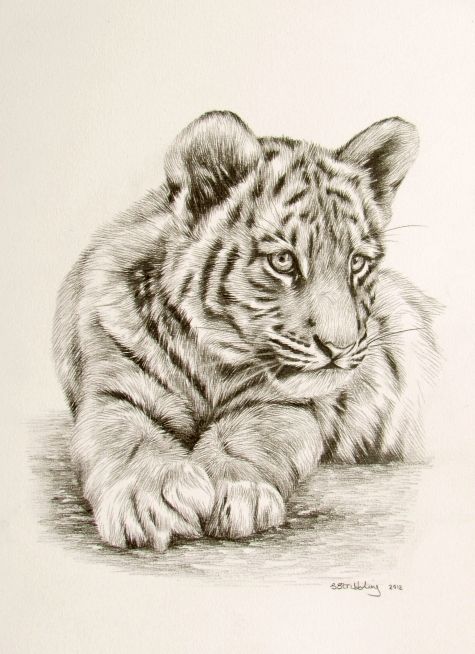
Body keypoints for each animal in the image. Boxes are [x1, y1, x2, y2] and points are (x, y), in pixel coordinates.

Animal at [53, 110, 439, 551]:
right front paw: (150, 500)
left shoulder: (285, 406)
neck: (213, 362)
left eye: (357, 262)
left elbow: (247, 436)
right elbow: (127, 438)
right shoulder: (114, 391)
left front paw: (236, 491)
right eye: (283, 261)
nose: (339, 348)